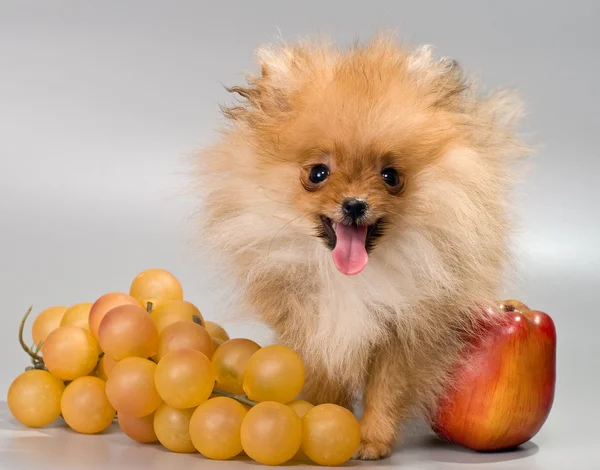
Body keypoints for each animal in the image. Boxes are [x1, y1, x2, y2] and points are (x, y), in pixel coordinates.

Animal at [191, 34, 524, 458]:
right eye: (318, 173)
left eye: (391, 176)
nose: (354, 204)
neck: (350, 277)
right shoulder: (312, 325)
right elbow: (325, 379)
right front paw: (324, 420)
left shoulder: (403, 332)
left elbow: (387, 389)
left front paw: (370, 439)